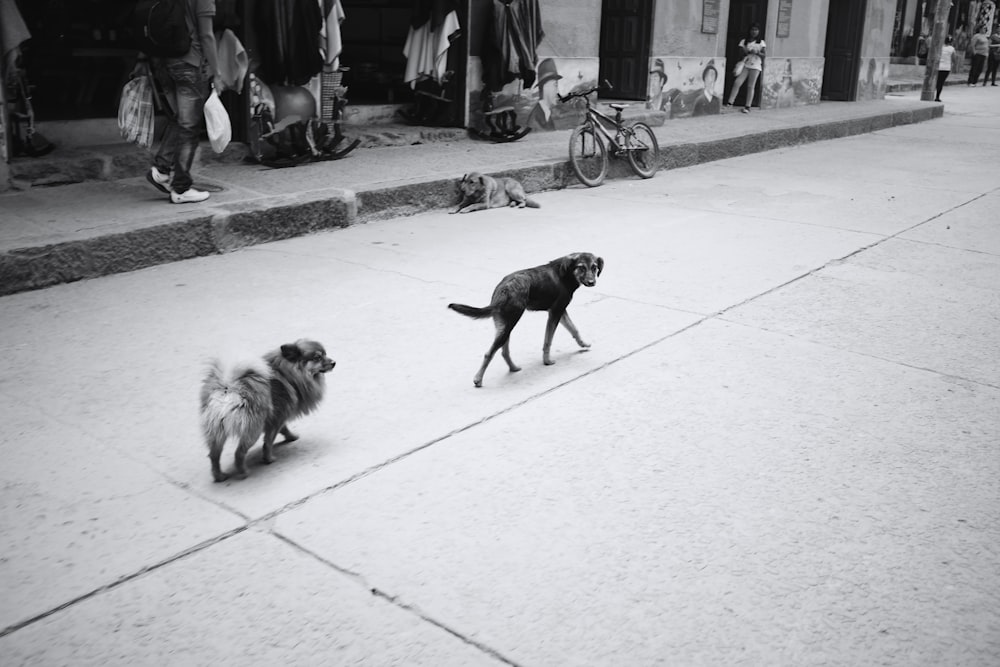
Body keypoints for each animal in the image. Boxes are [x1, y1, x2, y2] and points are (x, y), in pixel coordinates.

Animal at [452, 253, 604, 388]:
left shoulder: (560, 312)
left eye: (594, 267)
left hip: (504, 326)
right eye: (581, 267)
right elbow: (548, 341)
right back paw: (478, 379)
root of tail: (503, 289)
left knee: (504, 351)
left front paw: (583, 343)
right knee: (489, 353)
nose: (592, 282)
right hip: (510, 324)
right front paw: (547, 361)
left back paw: (513, 368)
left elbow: (574, 329)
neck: (567, 273)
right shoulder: (555, 312)